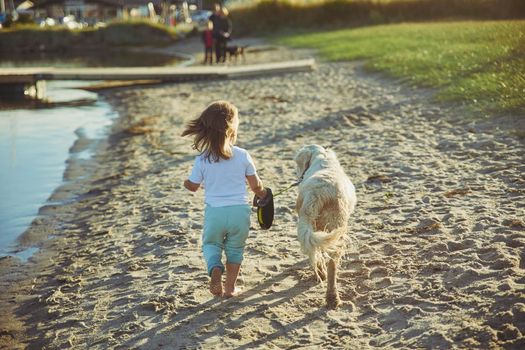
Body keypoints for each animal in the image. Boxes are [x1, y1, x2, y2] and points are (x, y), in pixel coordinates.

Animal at [294, 144, 356, 308]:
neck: (323, 158)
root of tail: (316, 193)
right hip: (336, 226)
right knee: (331, 263)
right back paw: (332, 297)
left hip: (313, 223)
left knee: (315, 251)